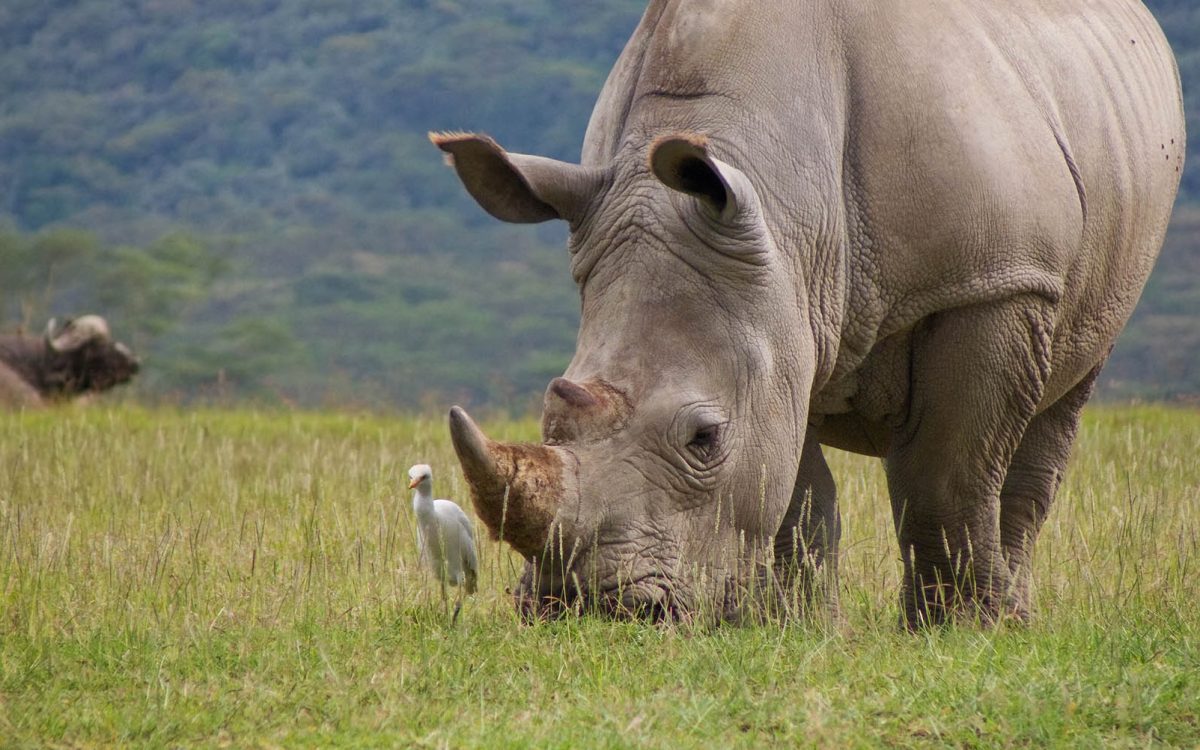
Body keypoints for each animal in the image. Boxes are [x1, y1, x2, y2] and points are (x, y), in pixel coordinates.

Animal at [432, 0, 1185, 626]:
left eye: (703, 438)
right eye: (549, 415)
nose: (584, 607)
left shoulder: (992, 281)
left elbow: (950, 472)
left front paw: (959, 631)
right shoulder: (775, 320)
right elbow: (796, 493)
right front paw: (796, 628)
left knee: (1056, 402)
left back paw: (1011, 618)